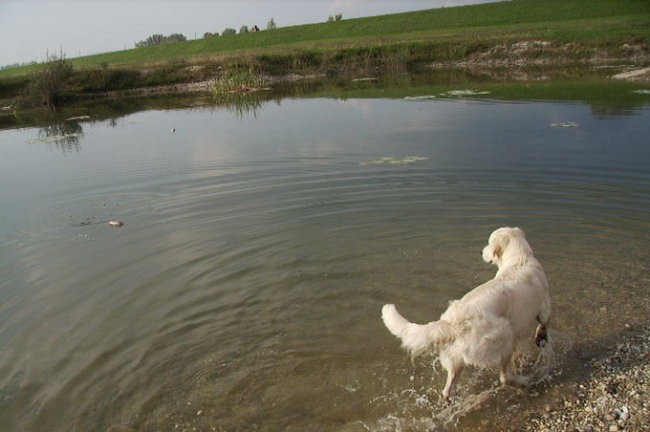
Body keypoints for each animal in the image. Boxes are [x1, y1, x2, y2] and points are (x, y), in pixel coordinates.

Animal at [382, 228, 548, 400]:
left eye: (489, 244)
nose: (480, 251)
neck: (519, 258)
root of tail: (450, 322)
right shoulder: (544, 305)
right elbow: (544, 322)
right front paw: (540, 337)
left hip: (456, 359)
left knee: (447, 389)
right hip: (503, 335)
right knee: (504, 377)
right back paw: (524, 384)